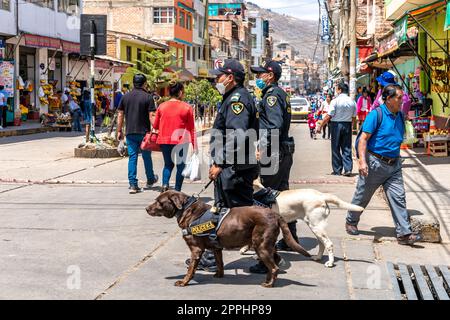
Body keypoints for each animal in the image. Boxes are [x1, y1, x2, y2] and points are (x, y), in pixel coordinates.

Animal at [146, 190, 312, 288]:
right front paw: (219, 275)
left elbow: (190, 269)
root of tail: (274, 214)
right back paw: (267, 278)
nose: (147, 209)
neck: (187, 209)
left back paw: (269, 284)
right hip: (267, 245)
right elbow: (219, 262)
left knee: (274, 267)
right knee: (275, 260)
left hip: (261, 245)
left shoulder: (196, 250)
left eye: (159, 202)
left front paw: (184, 282)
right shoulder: (216, 247)